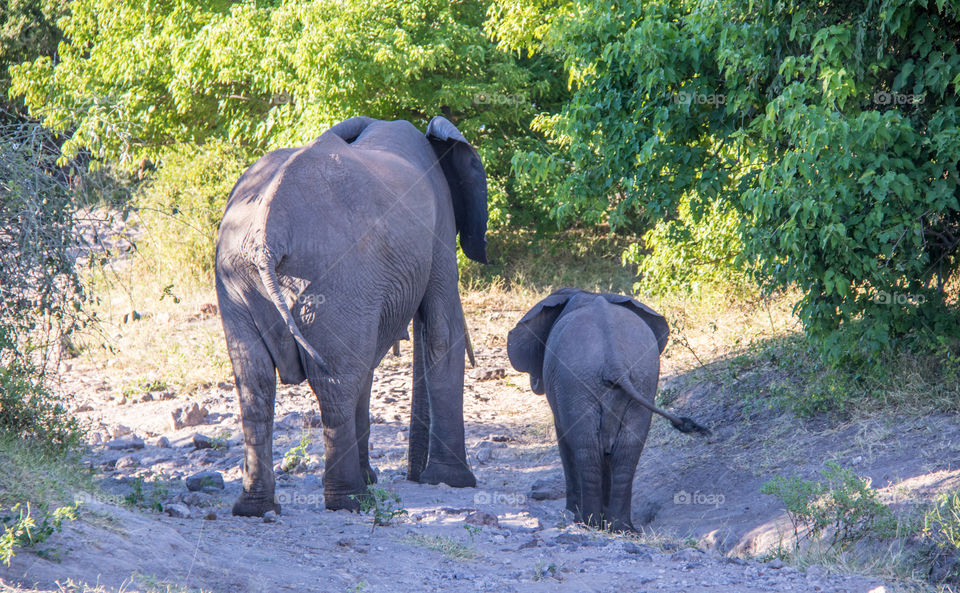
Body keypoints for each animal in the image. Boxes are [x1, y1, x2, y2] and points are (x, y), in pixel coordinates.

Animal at [215, 115, 486, 516]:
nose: (414, 474)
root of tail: (268, 235)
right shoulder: (438, 227)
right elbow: (442, 331)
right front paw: (453, 481)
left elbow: (371, 361)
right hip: (333, 277)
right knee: (336, 383)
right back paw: (352, 500)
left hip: (237, 279)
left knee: (256, 384)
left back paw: (256, 508)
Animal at [507, 288, 709, 531]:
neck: (588, 294)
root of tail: (615, 362)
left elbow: (565, 440)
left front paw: (573, 512)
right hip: (642, 378)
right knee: (627, 451)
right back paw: (622, 528)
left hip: (577, 382)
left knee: (587, 451)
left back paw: (587, 522)